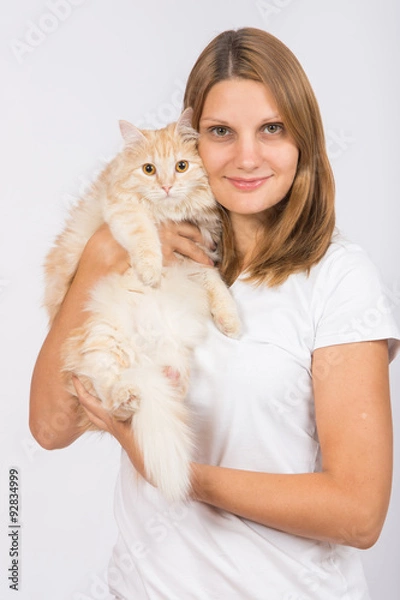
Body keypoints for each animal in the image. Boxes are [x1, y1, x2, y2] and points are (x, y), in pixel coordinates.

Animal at [43, 108, 241, 502]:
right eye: (149, 170)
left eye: (181, 166)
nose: (165, 186)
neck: (171, 212)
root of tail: (144, 361)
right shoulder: (123, 210)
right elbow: (145, 235)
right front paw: (149, 272)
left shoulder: (199, 258)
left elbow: (216, 285)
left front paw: (231, 321)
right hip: (104, 338)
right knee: (107, 389)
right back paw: (127, 396)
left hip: (169, 356)